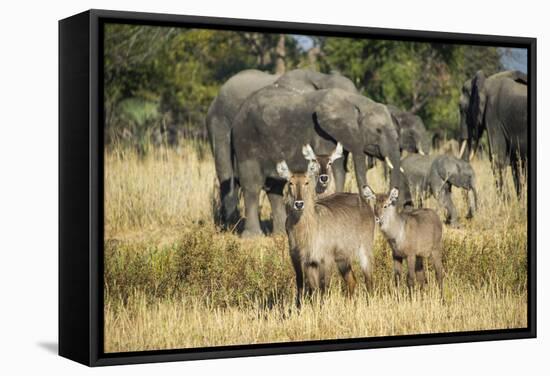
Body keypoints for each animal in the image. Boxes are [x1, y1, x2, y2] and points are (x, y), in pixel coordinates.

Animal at [233, 86, 406, 236]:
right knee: (252, 185)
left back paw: (281, 233)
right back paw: (252, 236)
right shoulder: (323, 134)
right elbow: (337, 170)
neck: (356, 102)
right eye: (378, 130)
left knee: (275, 188)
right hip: (245, 140)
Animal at [278, 160, 378, 306]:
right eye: (290, 182)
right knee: (352, 281)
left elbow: (323, 287)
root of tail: (363, 201)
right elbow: (308, 288)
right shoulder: (304, 260)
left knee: (369, 280)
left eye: (307, 182)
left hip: (364, 250)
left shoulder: (326, 259)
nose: (299, 204)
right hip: (342, 258)